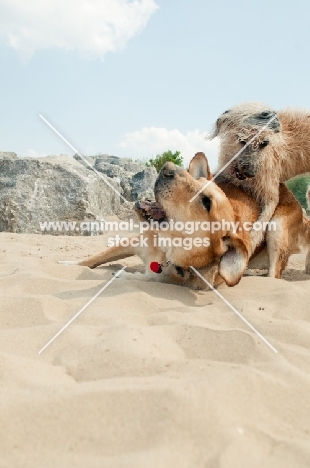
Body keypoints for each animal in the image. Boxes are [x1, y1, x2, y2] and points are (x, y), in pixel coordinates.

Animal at [60, 153, 310, 288]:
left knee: (274, 275)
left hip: (276, 228)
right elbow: (91, 259)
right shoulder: (134, 241)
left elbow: (136, 277)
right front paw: (68, 264)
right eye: (195, 178)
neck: (166, 251)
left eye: (207, 202)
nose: (167, 167)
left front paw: (123, 275)